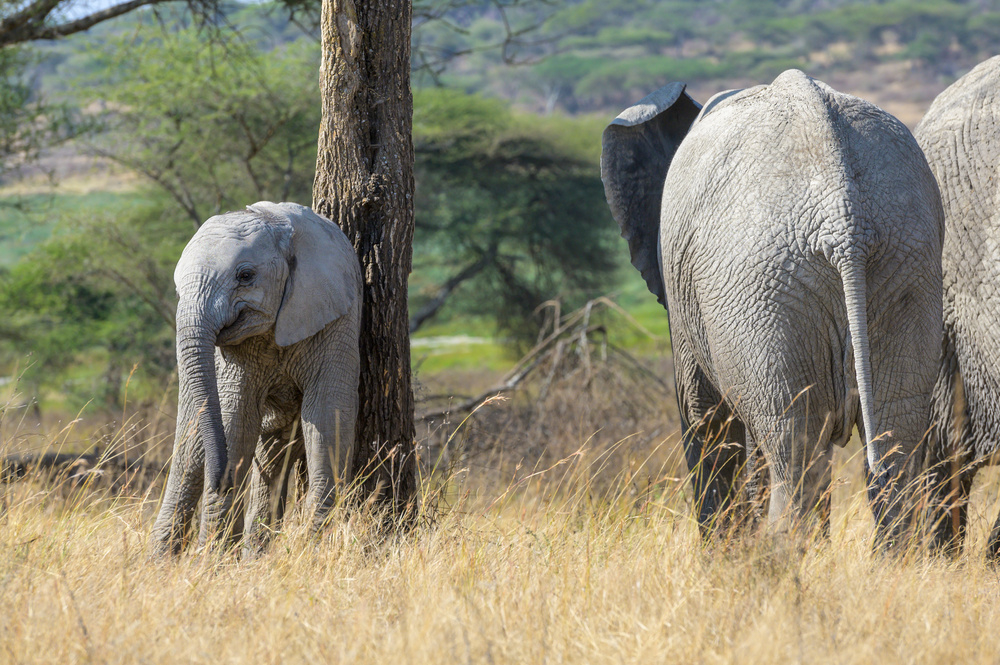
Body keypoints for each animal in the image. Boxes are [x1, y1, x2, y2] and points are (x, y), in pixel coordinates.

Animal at [150, 201, 362, 556]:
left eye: (245, 276)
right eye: (178, 287)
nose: (221, 481)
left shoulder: (338, 318)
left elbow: (327, 417)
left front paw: (313, 546)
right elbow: (236, 423)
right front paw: (213, 560)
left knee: (271, 455)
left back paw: (252, 554)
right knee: (191, 455)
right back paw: (160, 562)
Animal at [600, 70, 944, 544]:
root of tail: (844, 219)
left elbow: (704, 421)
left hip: (766, 286)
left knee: (792, 455)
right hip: (904, 266)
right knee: (894, 447)